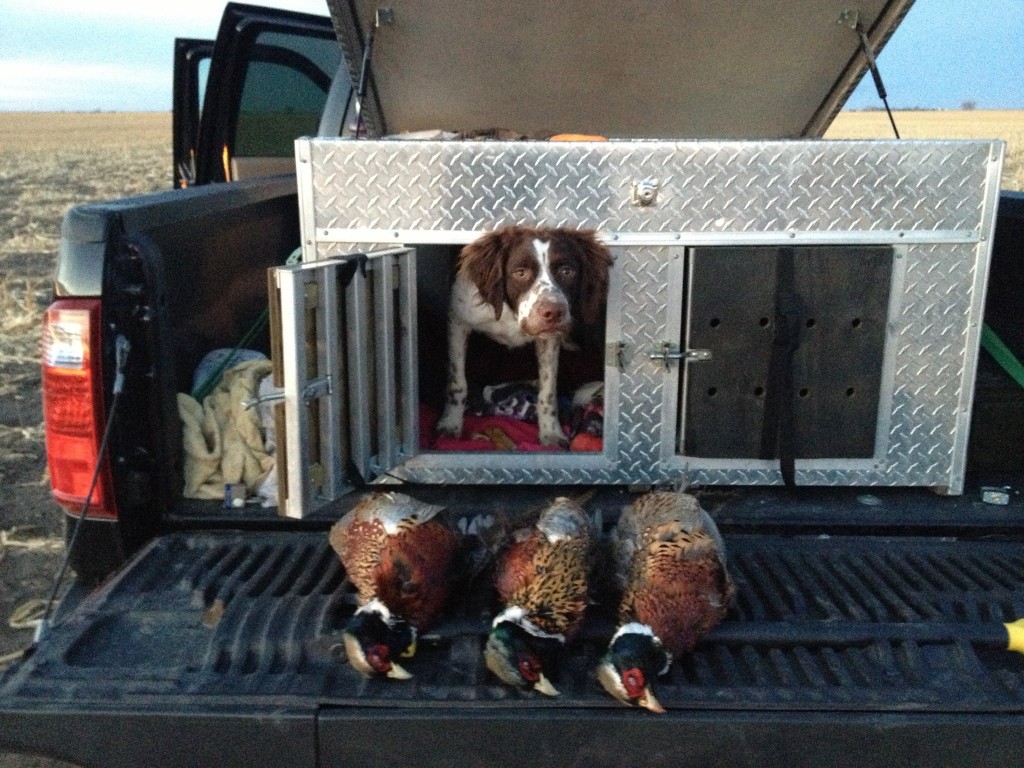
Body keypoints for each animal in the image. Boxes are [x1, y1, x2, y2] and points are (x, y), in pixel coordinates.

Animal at [436, 225, 610, 448]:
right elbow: (457, 382)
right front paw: (450, 424)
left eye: (567, 271)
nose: (554, 313)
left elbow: (548, 390)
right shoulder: (458, 320)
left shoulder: (549, 338)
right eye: (520, 273)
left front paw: (551, 432)